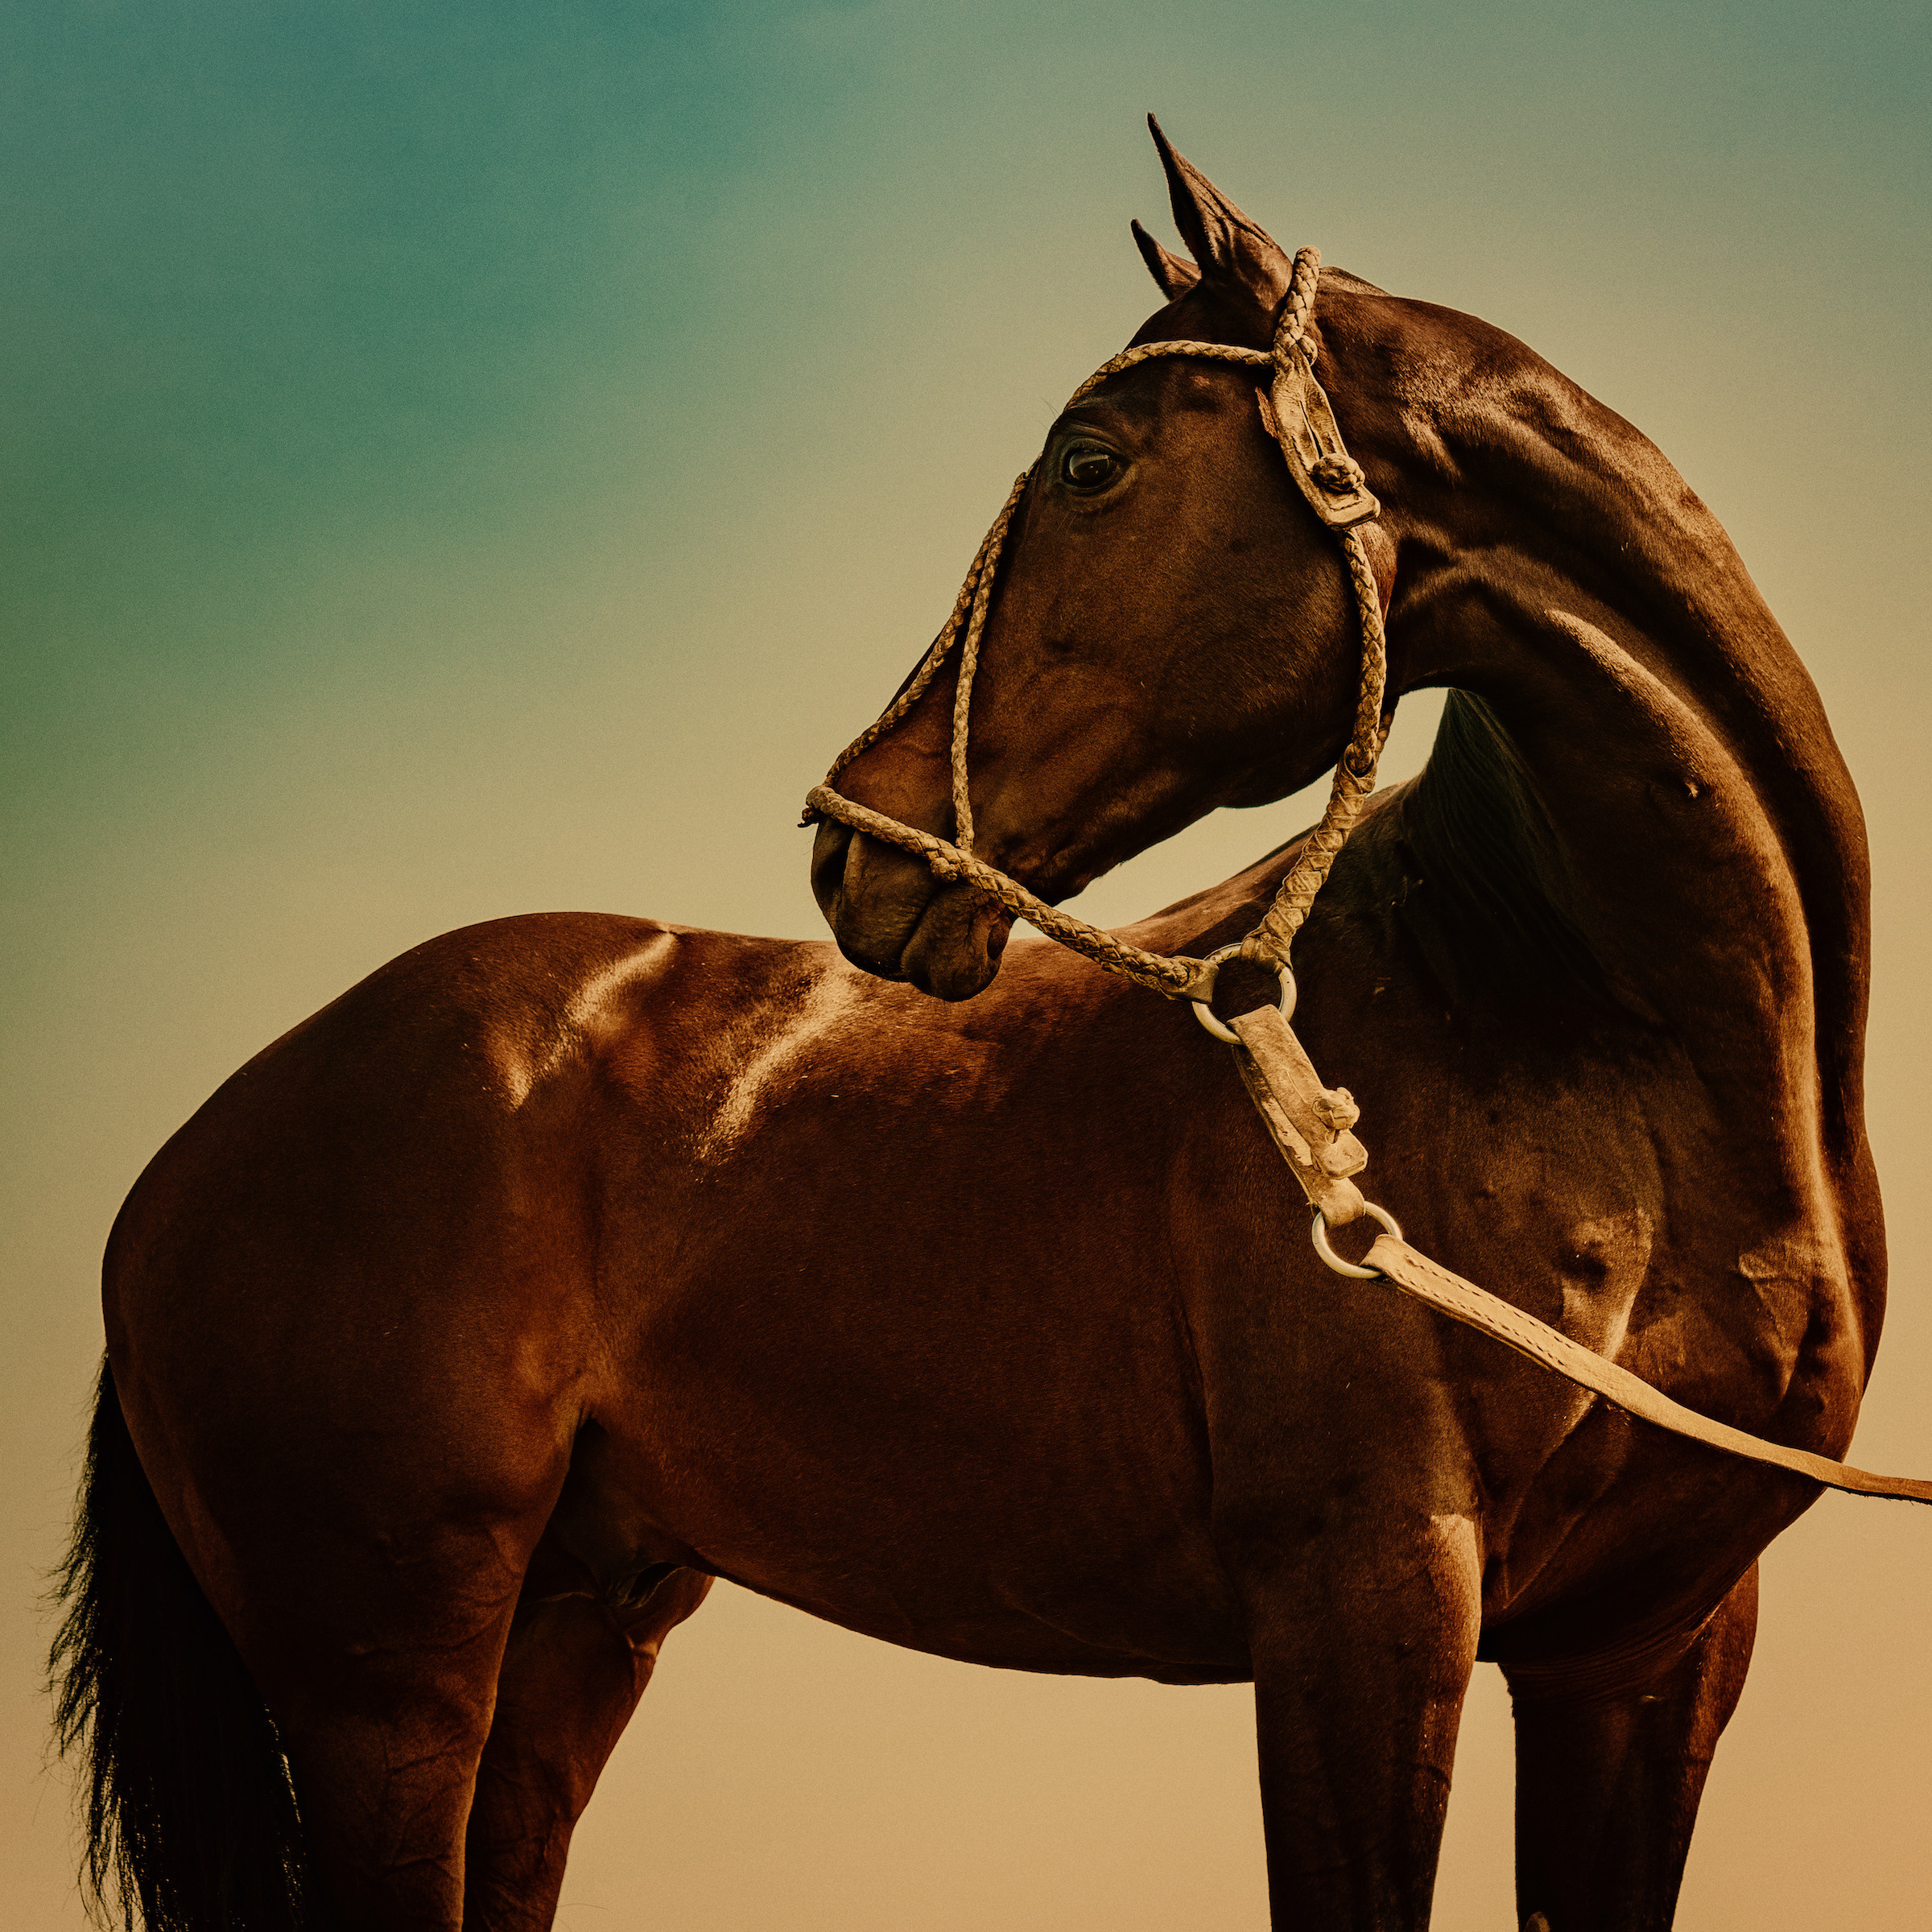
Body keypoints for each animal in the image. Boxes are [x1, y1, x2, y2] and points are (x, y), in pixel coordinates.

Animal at [53, 121, 1879, 1932]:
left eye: (1088, 463)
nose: (844, 840)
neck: (1595, 1039)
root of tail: (181, 1165)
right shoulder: (1368, 1604)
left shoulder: (1643, 1652)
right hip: (390, 1691)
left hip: (572, 1638)